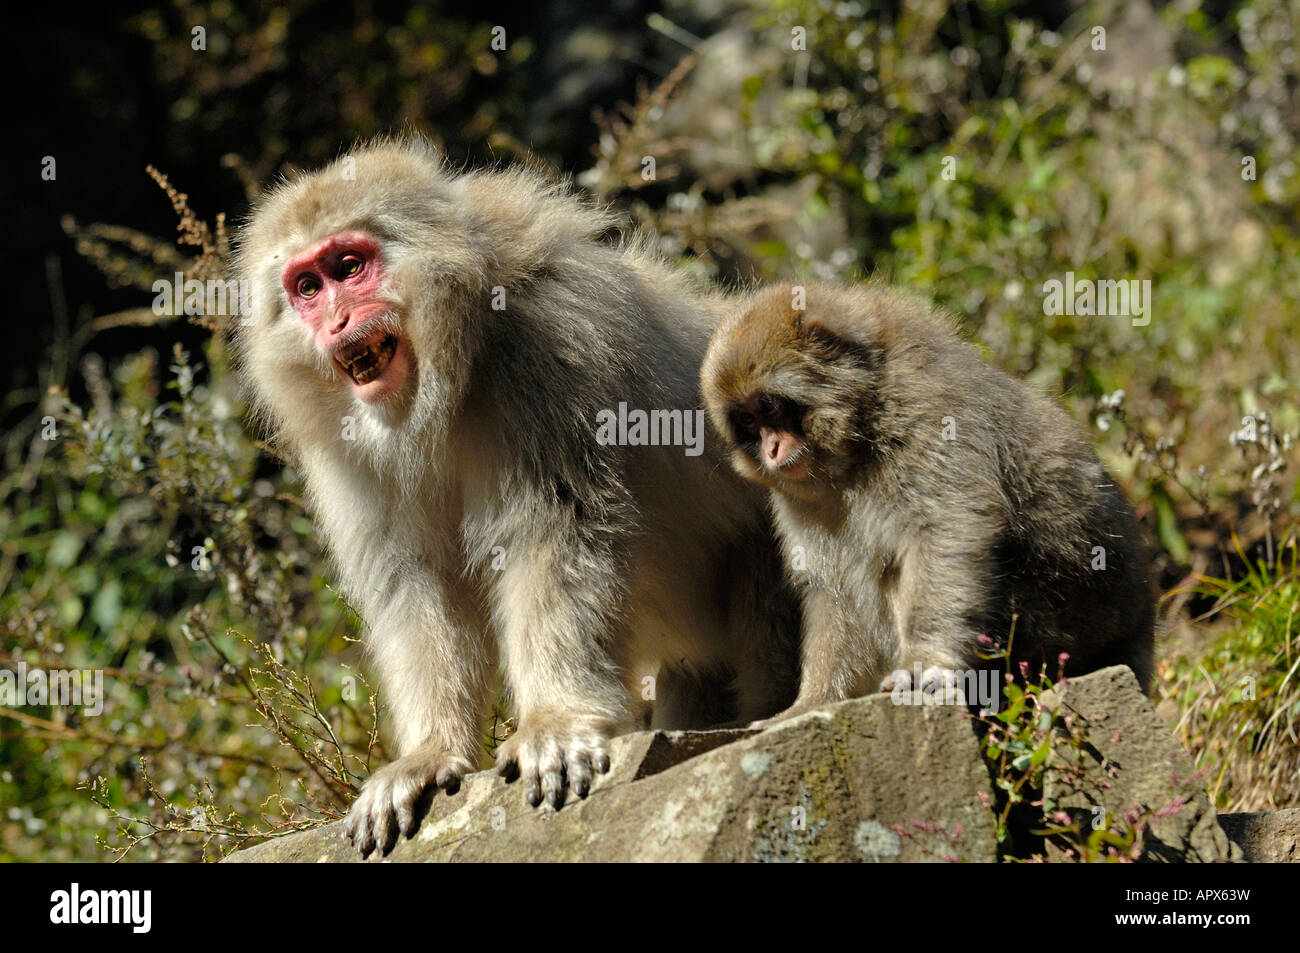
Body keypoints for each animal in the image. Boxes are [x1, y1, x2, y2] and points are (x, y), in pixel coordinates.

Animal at [233, 138, 799, 856]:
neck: (449, 368)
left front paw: (553, 720)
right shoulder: (346, 451)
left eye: (349, 266)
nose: (336, 320)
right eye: (306, 287)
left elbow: (557, 529)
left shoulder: (550, 347)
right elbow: (417, 581)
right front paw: (428, 752)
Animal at [701, 281, 1154, 724]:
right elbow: (834, 584)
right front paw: (813, 702)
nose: (771, 449)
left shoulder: (928, 414)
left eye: (768, 405)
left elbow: (944, 531)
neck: (861, 428)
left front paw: (923, 662)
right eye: (747, 421)